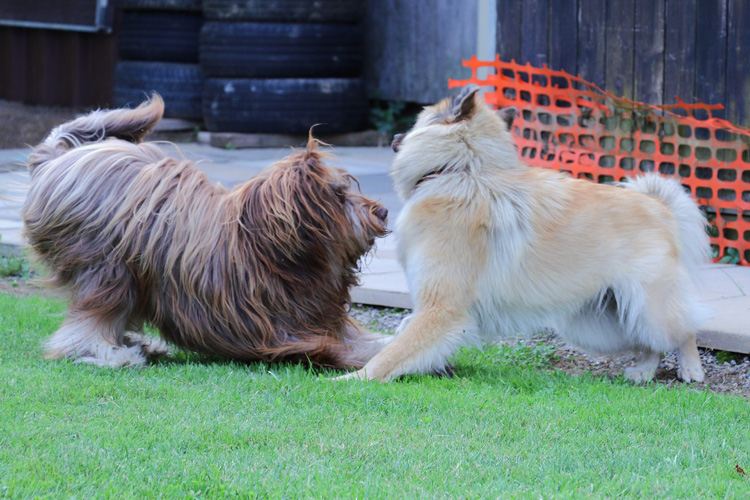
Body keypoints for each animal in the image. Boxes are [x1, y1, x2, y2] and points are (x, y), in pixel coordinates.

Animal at [20, 94, 390, 368]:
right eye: (340, 196)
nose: (383, 211)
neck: (274, 254)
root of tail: (55, 158)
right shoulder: (282, 330)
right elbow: (339, 350)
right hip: (108, 267)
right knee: (90, 321)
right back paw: (113, 354)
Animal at [340, 85, 712, 382]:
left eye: (418, 120)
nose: (394, 138)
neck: (463, 171)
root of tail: (659, 206)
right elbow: (403, 338)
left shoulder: (440, 307)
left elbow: (391, 355)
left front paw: (350, 381)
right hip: (599, 322)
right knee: (649, 342)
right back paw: (645, 371)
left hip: (651, 308)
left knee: (684, 330)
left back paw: (690, 368)